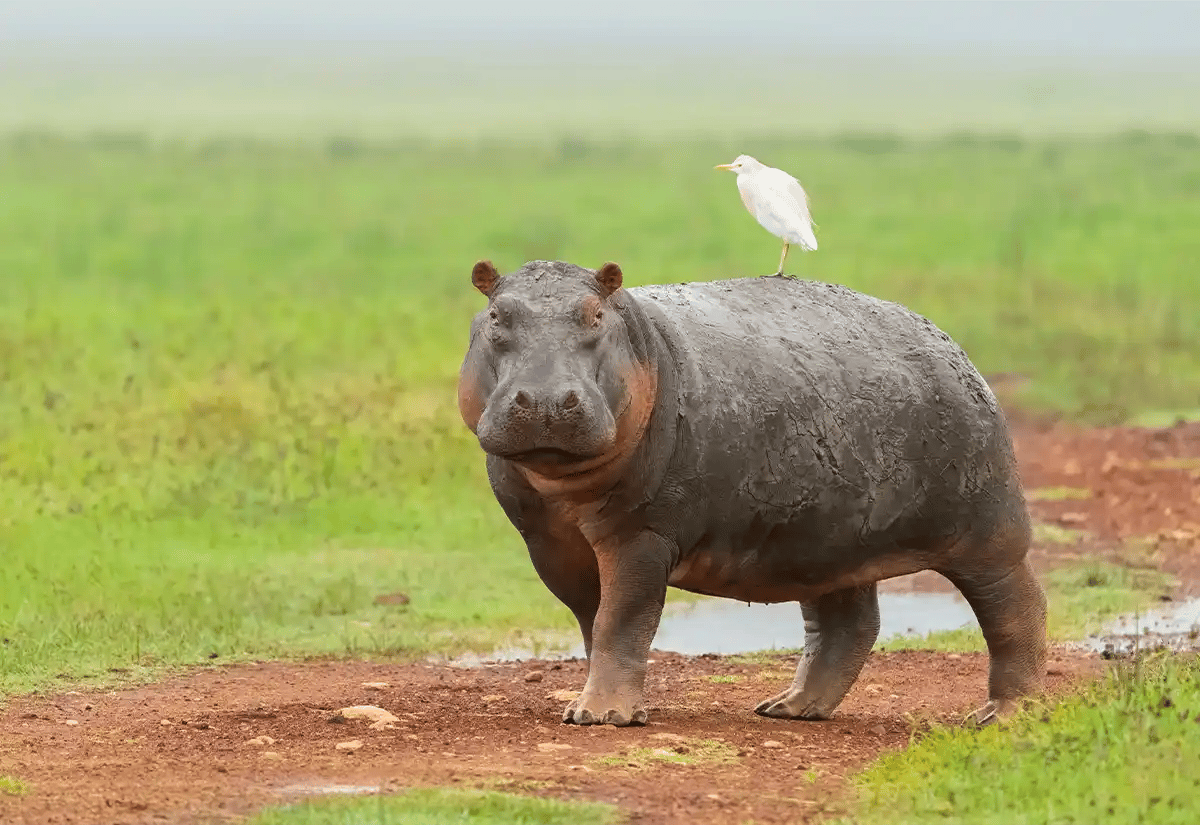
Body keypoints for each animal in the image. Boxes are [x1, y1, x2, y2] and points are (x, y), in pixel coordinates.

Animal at [458, 259, 1047, 728]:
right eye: (496, 317)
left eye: (595, 316)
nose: (546, 400)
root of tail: (949, 343)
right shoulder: (550, 544)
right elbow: (592, 621)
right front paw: (599, 706)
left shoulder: (642, 534)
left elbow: (622, 619)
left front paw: (601, 717)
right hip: (825, 540)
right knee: (848, 624)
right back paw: (789, 708)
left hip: (986, 529)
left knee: (1017, 609)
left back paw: (1002, 716)